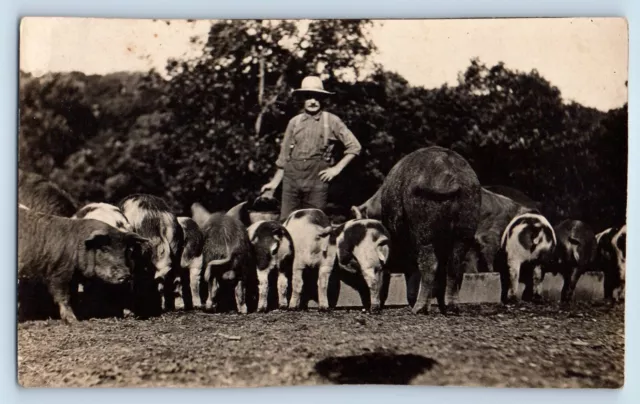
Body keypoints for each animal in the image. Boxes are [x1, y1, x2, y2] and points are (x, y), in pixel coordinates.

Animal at [17, 207, 149, 324]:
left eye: (125, 250)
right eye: (104, 249)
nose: (126, 274)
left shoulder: (73, 279)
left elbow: (73, 295)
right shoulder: (59, 272)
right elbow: (64, 296)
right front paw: (73, 320)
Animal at [350, 147, 480, 314]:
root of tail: (453, 178)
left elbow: (404, 271)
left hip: (423, 223)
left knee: (430, 264)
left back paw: (418, 309)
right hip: (467, 223)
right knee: (453, 265)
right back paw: (452, 309)